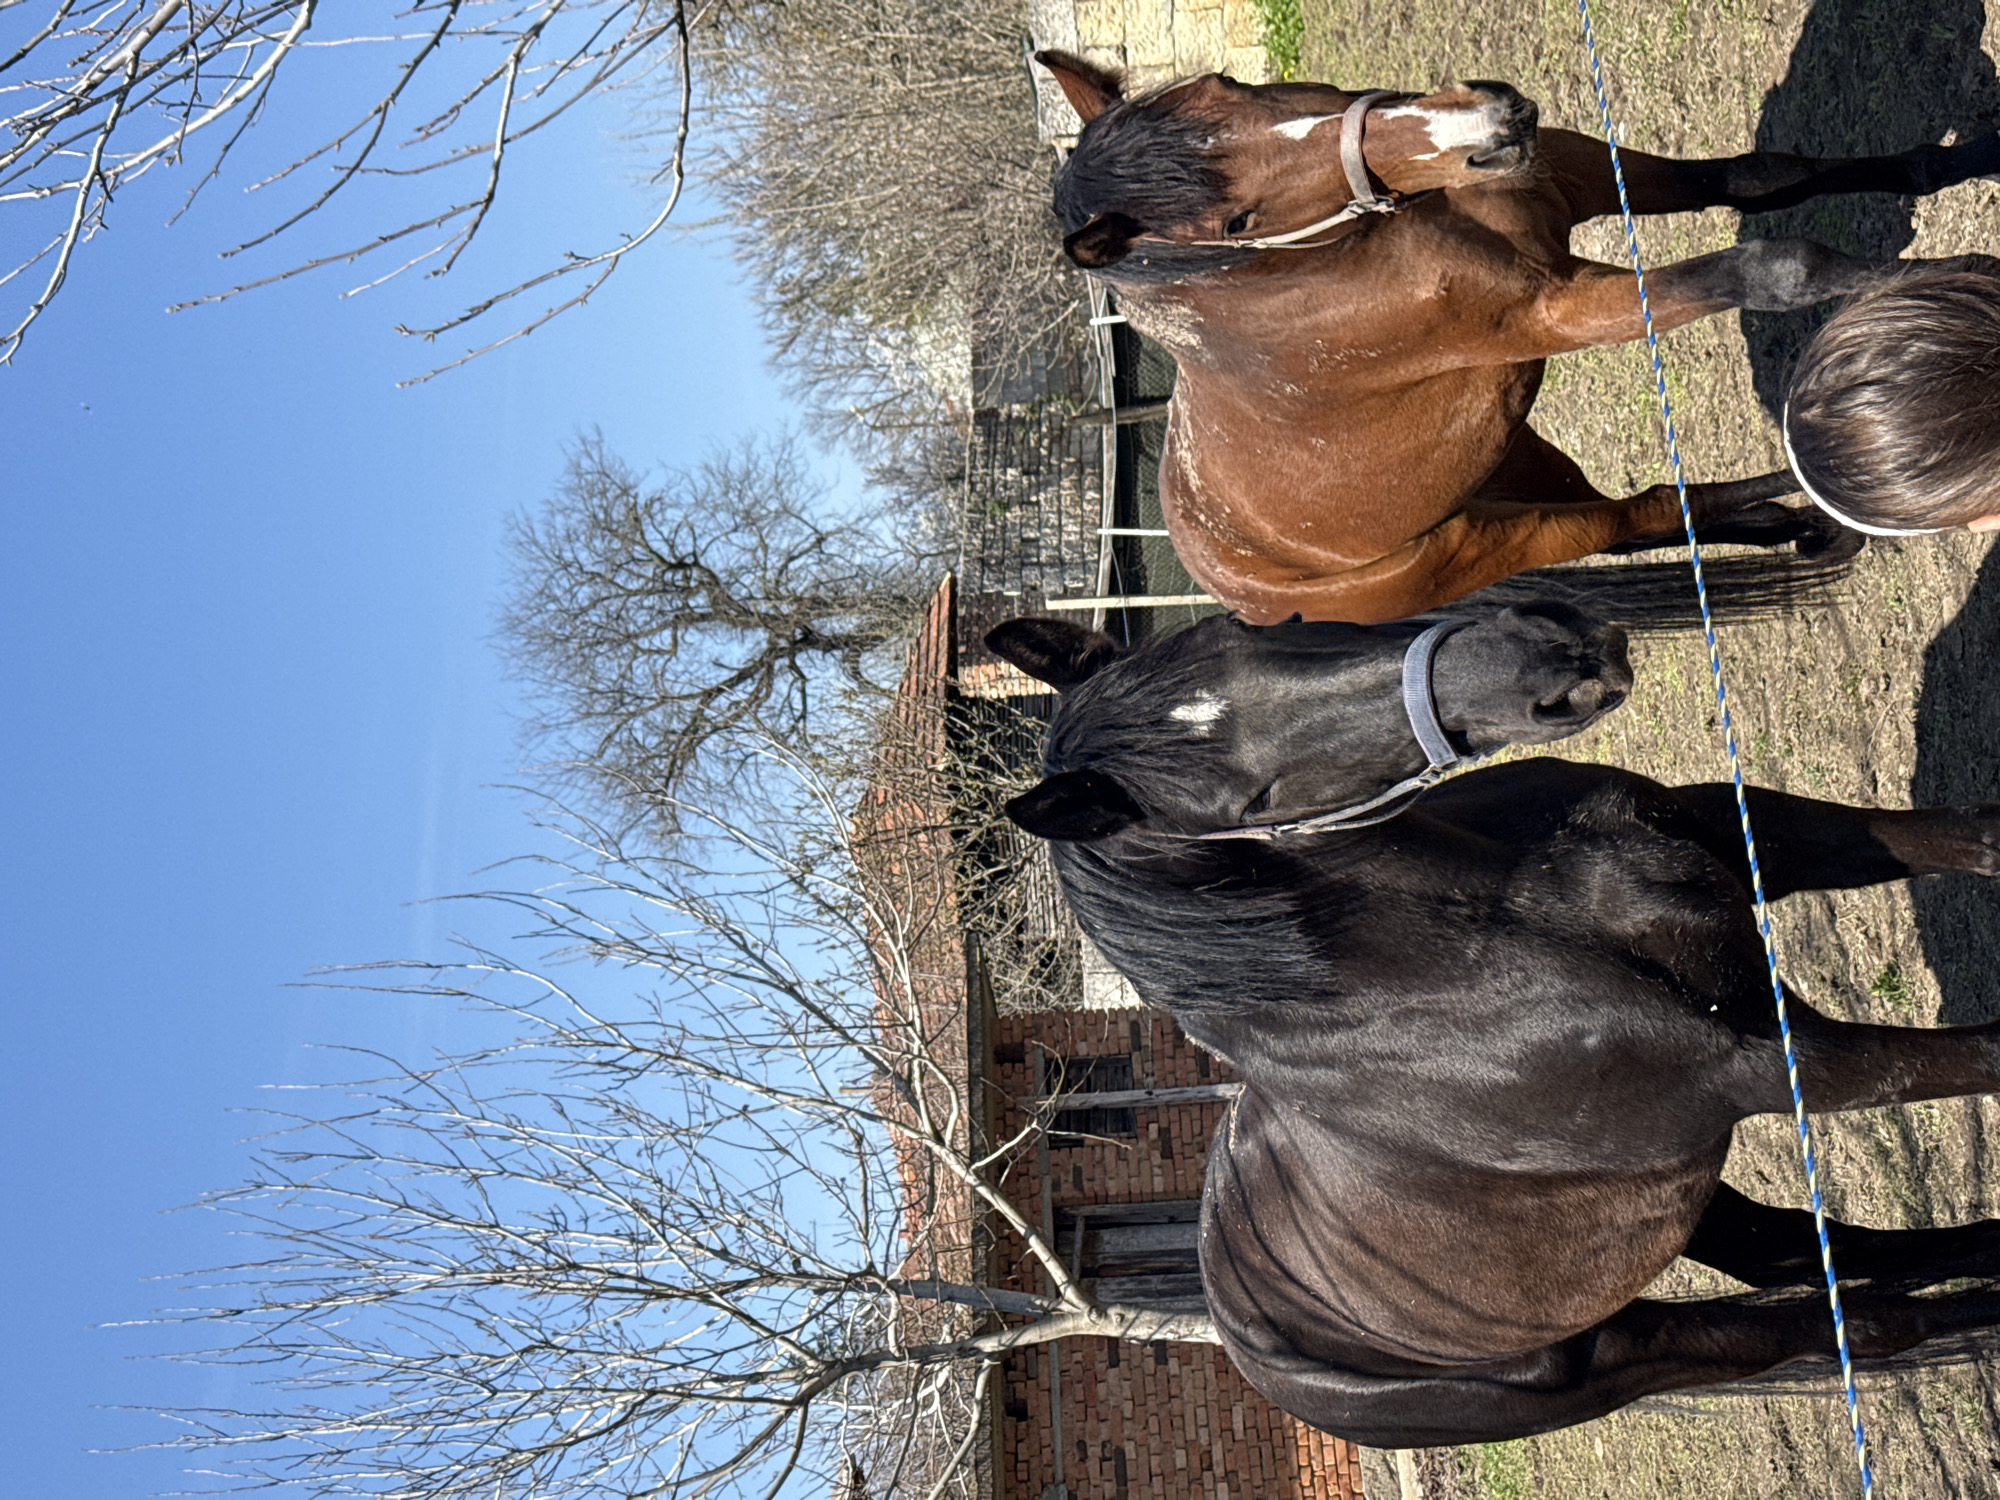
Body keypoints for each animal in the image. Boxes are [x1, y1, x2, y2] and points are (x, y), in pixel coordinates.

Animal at [985, 606, 2000, 1445]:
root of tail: (1248, 1344)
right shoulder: (1782, 1064)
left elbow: (1962, 836)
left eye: (1250, 625)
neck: (1483, 924)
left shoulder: (1742, 832)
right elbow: (1982, 1052)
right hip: (1614, 1353)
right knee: (1852, 1321)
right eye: (1251, 802)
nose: (1554, 661)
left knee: (1800, 1249)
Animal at [1038, 51, 2000, 624]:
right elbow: (1776, 267)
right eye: (1234, 224)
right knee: (1636, 518)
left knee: (1655, 513)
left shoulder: (1572, 170)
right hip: (1497, 540)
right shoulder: (1556, 313)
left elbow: (1765, 177)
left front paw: (1963, 160)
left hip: (1512, 464)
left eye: (1228, 85)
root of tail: (1233, 585)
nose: (1486, 123)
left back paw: (1805, 519)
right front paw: (1957, 290)